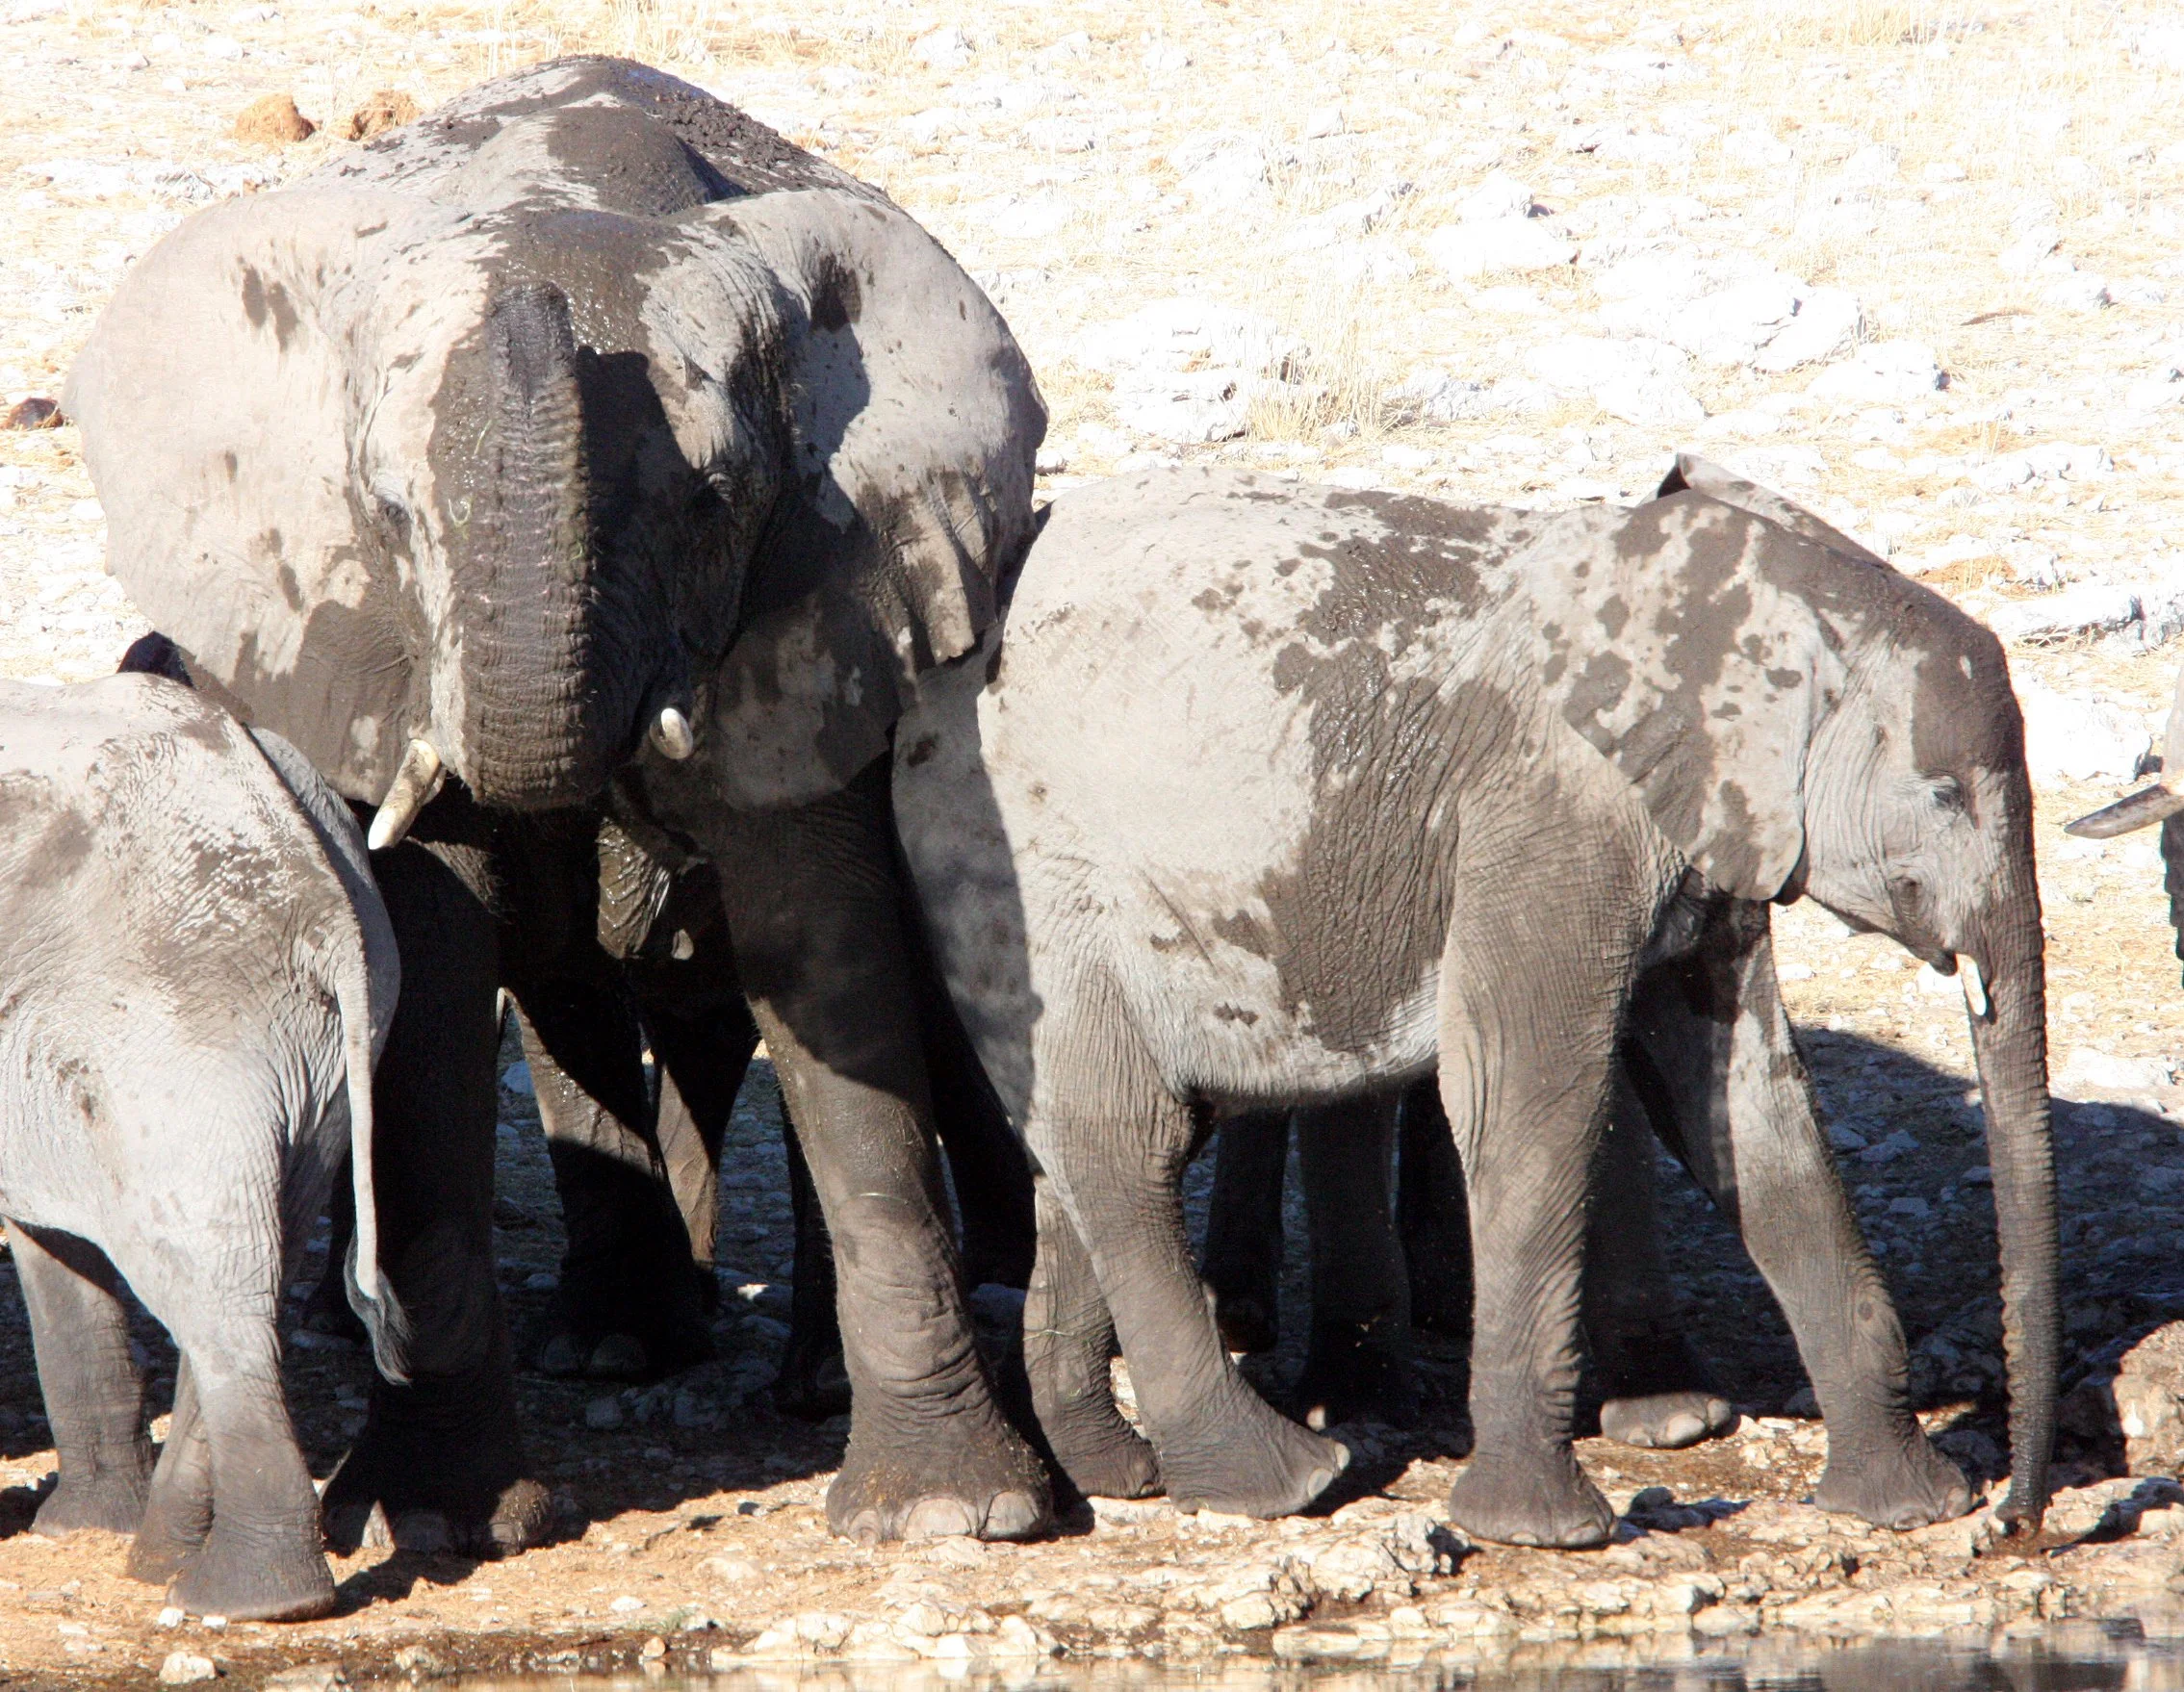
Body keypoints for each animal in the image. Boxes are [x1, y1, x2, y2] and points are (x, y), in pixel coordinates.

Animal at [0, 673, 400, 1620]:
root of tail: (323, 902)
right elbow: (53, 1251)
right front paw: (77, 1530)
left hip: (173, 1043)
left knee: (212, 1285)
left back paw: (245, 1599)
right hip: (320, 1065)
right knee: (247, 1260)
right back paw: (158, 1560)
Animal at [68, 58, 1052, 1550]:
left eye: (714, 502)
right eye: (390, 513)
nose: (535, 295)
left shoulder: (819, 588)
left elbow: (822, 951)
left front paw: (949, 1517)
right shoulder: (367, 644)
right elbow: (431, 955)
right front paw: (436, 1523)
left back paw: (790, 1380)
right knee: (567, 999)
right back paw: (609, 1348)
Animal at [893, 458, 2058, 1545]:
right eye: (1943, 795)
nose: (2012, 1522)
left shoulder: (1708, 825)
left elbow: (1746, 1108)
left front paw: (1908, 1507)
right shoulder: (1552, 810)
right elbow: (1522, 1098)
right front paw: (1544, 1530)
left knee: (1087, 1148)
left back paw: (1121, 1469)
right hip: (1019, 870)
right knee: (1124, 1134)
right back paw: (1287, 1482)